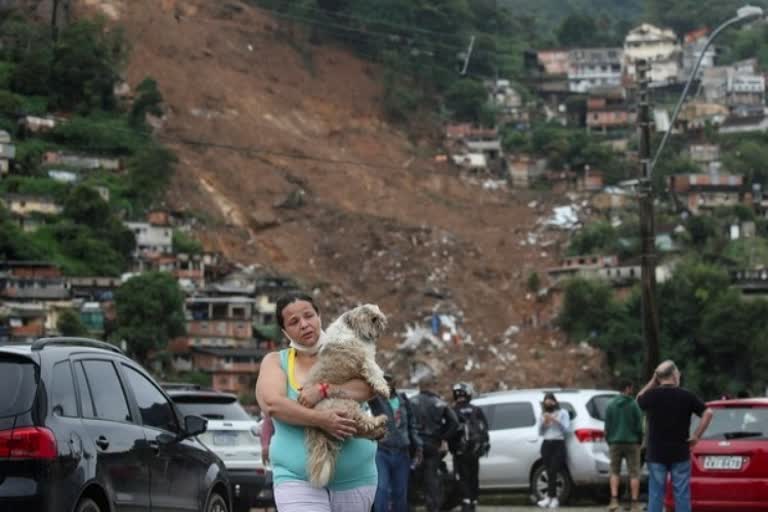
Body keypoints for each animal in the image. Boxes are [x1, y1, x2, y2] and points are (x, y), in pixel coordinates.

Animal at [304, 304, 392, 488]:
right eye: (374, 318)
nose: (383, 321)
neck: (352, 328)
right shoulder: (367, 361)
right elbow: (375, 373)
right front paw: (384, 389)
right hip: (347, 405)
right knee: (364, 423)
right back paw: (379, 421)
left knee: (358, 429)